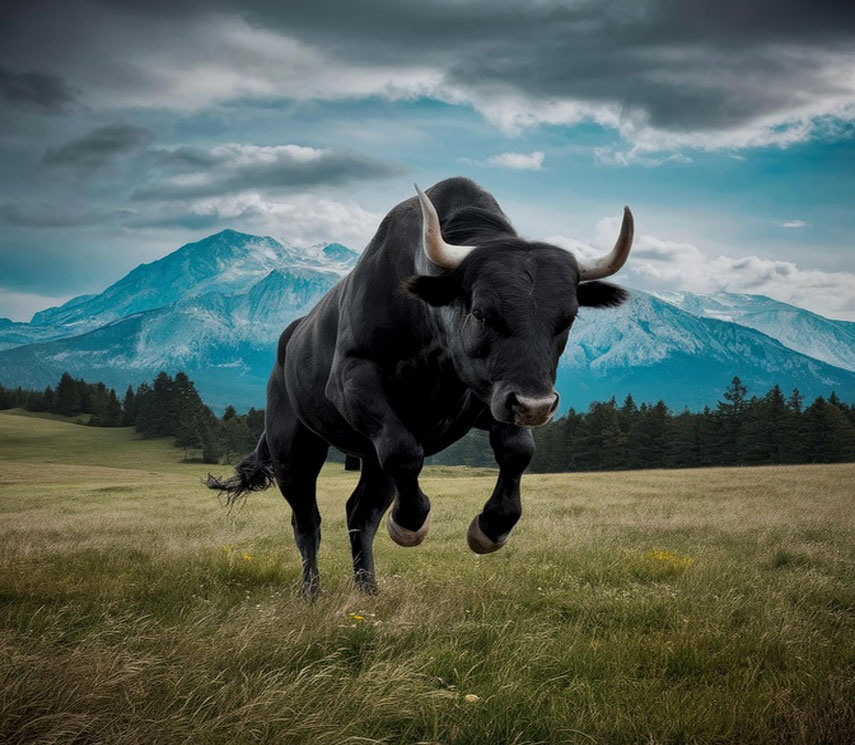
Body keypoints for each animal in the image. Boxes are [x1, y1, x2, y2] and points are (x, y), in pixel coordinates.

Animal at [207, 177, 633, 595]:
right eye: (482, 312)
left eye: (567, 318)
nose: (535, 406)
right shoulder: (353, 379)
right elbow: (404, 454)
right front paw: (410, 523)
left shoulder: (491, 396)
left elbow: (516, 451)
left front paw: (492, 526)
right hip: (294, 447)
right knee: (306, 520)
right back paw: (312, 592)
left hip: (369, 457)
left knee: (360, 513)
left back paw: (368, 590)